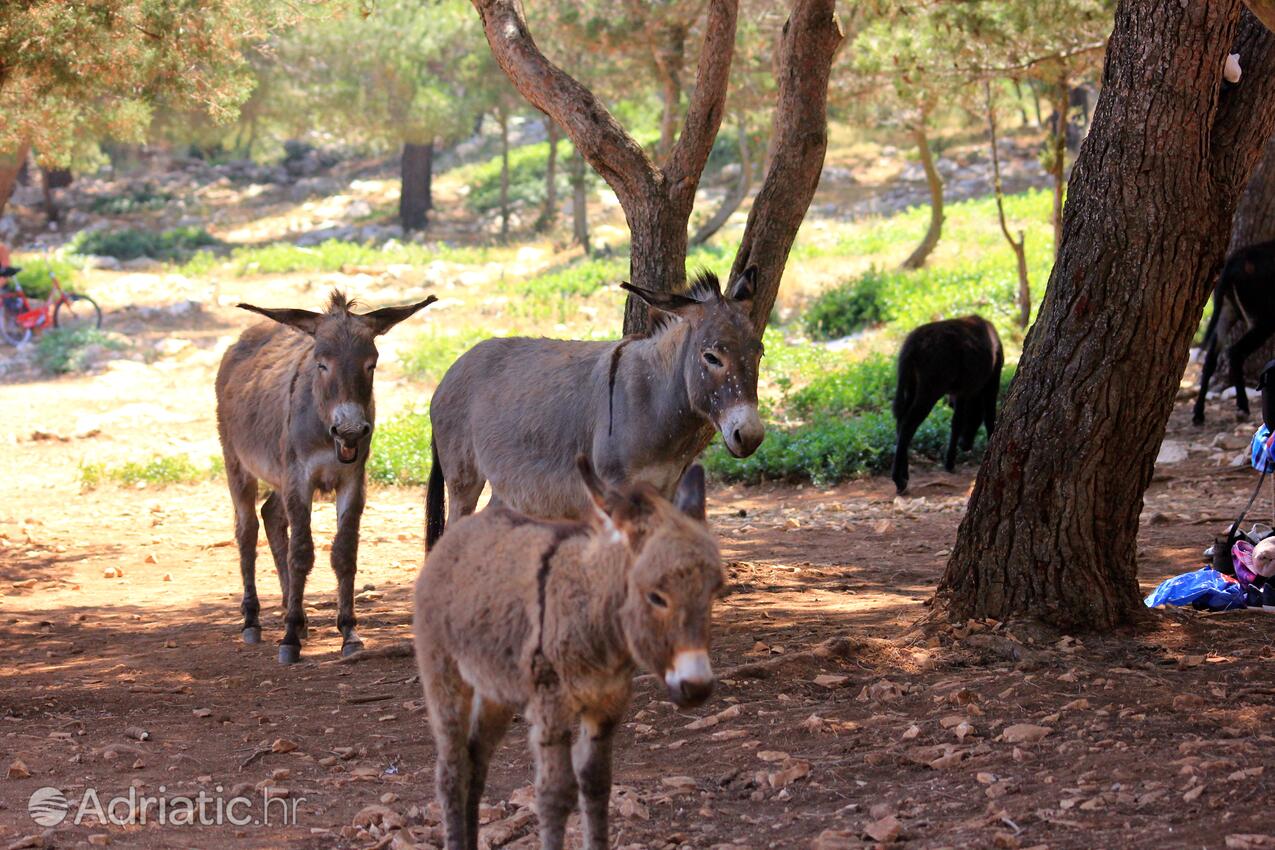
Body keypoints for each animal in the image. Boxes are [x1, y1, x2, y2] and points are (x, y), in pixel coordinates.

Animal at [216, 289, 436, 662]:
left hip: (279, 476)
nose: (350, 430)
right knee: (247, 530)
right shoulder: (300, 478)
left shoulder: (352, 480)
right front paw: (289, 638)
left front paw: (349, 633)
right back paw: (253, 621)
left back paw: (297, 615)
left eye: (371, 364)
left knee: (271, 515)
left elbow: (345, 553)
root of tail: (243, 340)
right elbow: (301, 552)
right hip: (237, 462)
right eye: (321, 364)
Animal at [415, 458, 724, 850]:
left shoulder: (607, 707)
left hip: (496, 690)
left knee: (475, 759)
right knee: (452, 770)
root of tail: (457, 535)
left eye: (715, 592)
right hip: (444, 675)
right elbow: (554, 794)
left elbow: (597, 785)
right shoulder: (552, 709)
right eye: (656, 597)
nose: (696, 687)